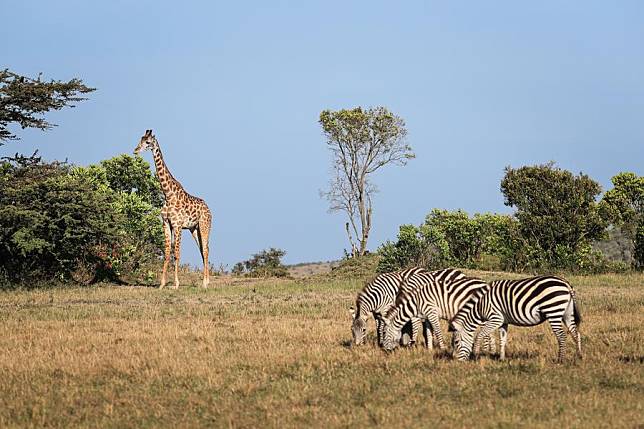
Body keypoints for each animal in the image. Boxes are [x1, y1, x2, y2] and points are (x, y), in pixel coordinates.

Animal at [135, 128, 213, 288]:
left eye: (148, 142)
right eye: (140, 139)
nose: (135, 150)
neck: (168, 194)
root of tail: (209, 210)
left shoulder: (177, 225)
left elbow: (176, 254)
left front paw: (176, 284)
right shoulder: (166, 223)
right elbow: (166, 253)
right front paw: (162, 284)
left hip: (204, 226)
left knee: (206, 250)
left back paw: (205, 283)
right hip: (194, 229)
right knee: (203, 250)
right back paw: (206, 280)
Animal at [448, 274, 584, 362]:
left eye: (456, 343)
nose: (456, 361)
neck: (481, 305)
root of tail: (566, 284)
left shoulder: (495, 319)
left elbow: (479, 335)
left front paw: (475, 355)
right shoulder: (503, 322)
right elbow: (502, 340)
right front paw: (501, 359)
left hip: (553, 311)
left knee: (562, 336)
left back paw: (560, 360)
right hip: (567, 313)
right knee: (576, 333)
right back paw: (579, 356)